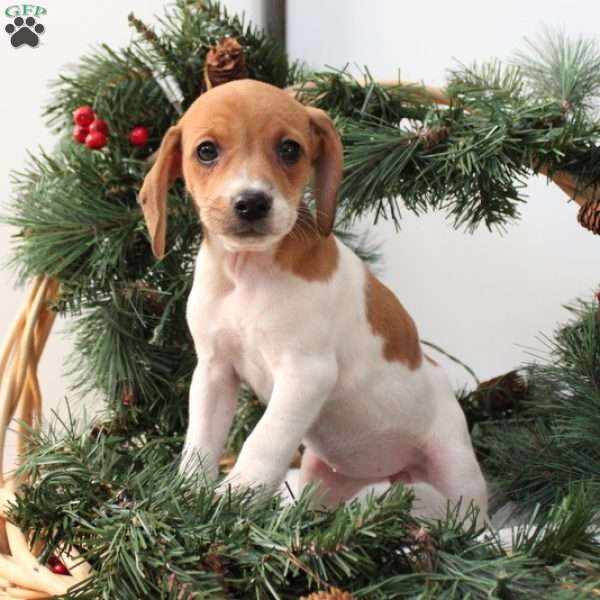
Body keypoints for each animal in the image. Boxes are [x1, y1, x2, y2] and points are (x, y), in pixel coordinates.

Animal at [139, 79, 488, 524]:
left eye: (290, 149)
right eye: (206, 151)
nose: (252, 203)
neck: (247, 274)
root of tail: (390, 473)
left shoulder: (305, 374)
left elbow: (264, 439)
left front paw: (237, 494)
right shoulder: (214, 372)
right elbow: (200, 443)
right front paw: (185, 495)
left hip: (457, 476)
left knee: (474, 521)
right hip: (323, 478)